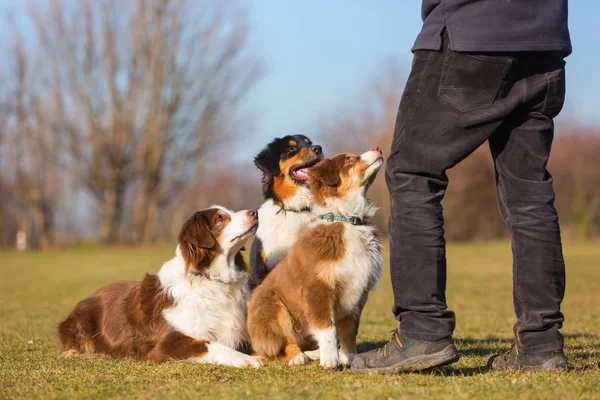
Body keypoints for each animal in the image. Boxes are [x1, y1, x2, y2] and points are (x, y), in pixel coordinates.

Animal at [58, 206, 262, 368]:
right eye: (220, 217)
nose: (255, 212)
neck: (211, 278)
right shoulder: (167, 342)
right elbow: (212, 345)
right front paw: (246, 359)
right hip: (80, 320)